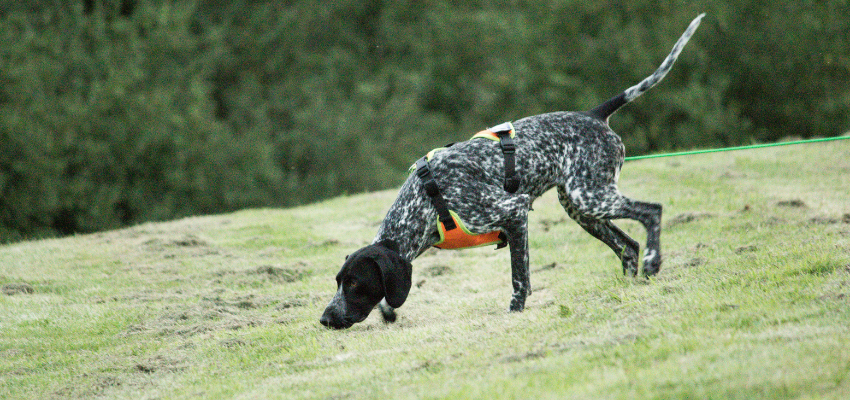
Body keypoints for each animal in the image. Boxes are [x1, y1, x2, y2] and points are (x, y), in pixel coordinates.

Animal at [318, 14, 704, 330]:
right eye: (338, 281)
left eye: (354, 283)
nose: (325, 318)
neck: (425, 203)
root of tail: (594, 114)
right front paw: (388, 312)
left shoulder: (514, 214)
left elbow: (520, 278)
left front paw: (515, 310)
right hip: (582, 208)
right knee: (628, 246)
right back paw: (631, 283)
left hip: (591, 198)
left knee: (651, 212)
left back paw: (653, 262)